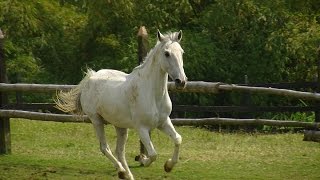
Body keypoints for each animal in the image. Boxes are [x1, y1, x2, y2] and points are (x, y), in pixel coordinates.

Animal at [55, 30, 188, 179]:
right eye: (167, 53)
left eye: (181, 52)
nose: (181, 81)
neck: (152, 94)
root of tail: (90, 77)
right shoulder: (142, 128)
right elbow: (153, 154)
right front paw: (143, 160)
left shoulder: (163, 122)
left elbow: (178, 139)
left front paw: (168, 166)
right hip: (96, 120)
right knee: (105, 147)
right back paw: (122, 171)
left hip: (120, 126)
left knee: (119, 151)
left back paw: (128, 175)